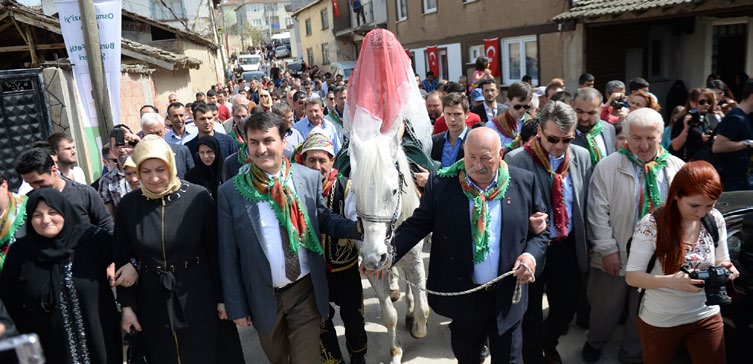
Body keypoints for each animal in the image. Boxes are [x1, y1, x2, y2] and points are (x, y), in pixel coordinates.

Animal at [348, 134, 426, 364]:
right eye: (355, 192)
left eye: (393, 191)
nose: (375, 256)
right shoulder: (372, 269)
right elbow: (389, 316)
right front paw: (396, 351)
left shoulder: (415, 260)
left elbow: (423, 308)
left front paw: (416, 326)